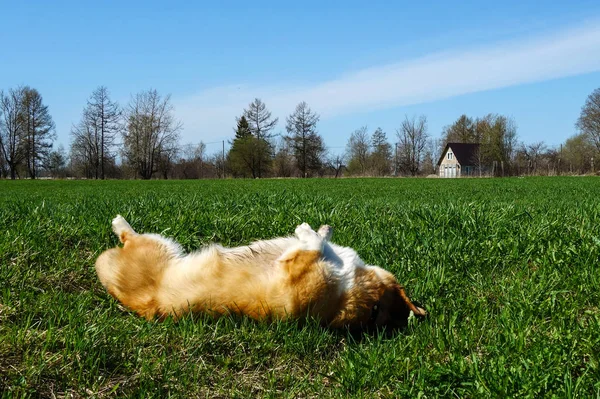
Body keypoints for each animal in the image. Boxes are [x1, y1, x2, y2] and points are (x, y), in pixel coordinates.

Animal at [95, 216, 426, 332]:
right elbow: (323, 240)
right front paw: (322, 229)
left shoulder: (299, 268)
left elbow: (312, 244)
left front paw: (307, 230)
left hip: (159, 245)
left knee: (127, 235)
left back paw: (119, 222)